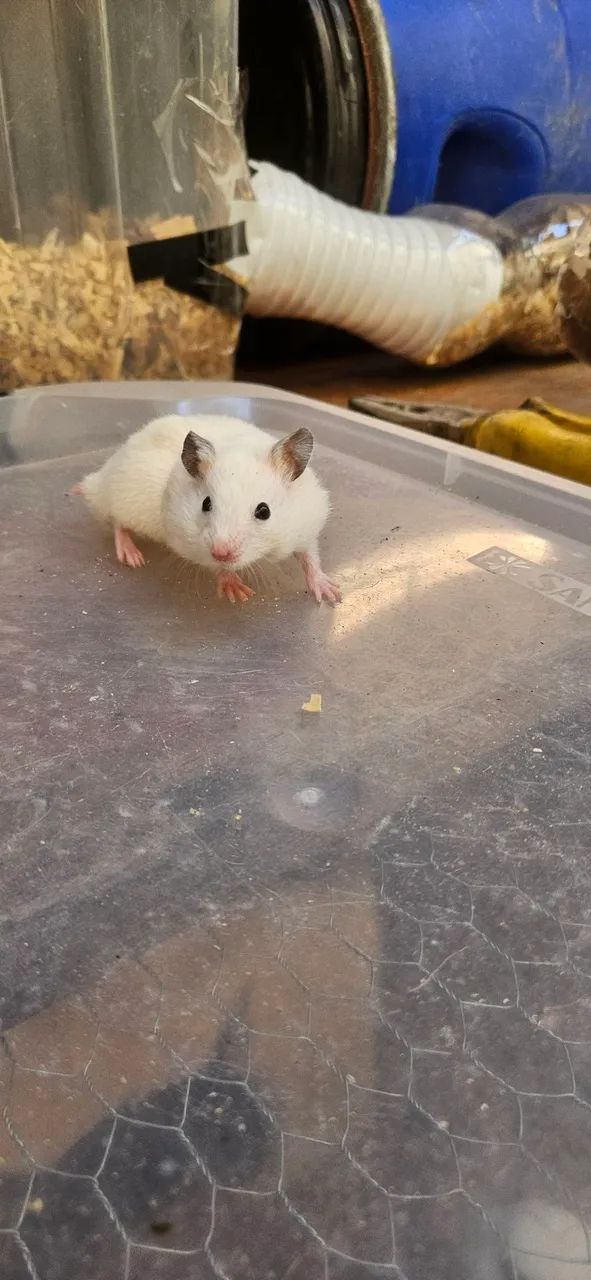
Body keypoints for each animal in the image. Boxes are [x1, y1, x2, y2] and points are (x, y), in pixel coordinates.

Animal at [75, 413, 341, 604]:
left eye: (264, 511)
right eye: (206, 503)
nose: (220, 552)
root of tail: (99, 477)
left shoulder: (305, 527)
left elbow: (310, 558)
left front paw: (331, 594)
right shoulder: (190, 542)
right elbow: (216, 567)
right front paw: (238, 593)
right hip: (124, 500)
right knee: (116, 522)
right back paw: (132, 557)